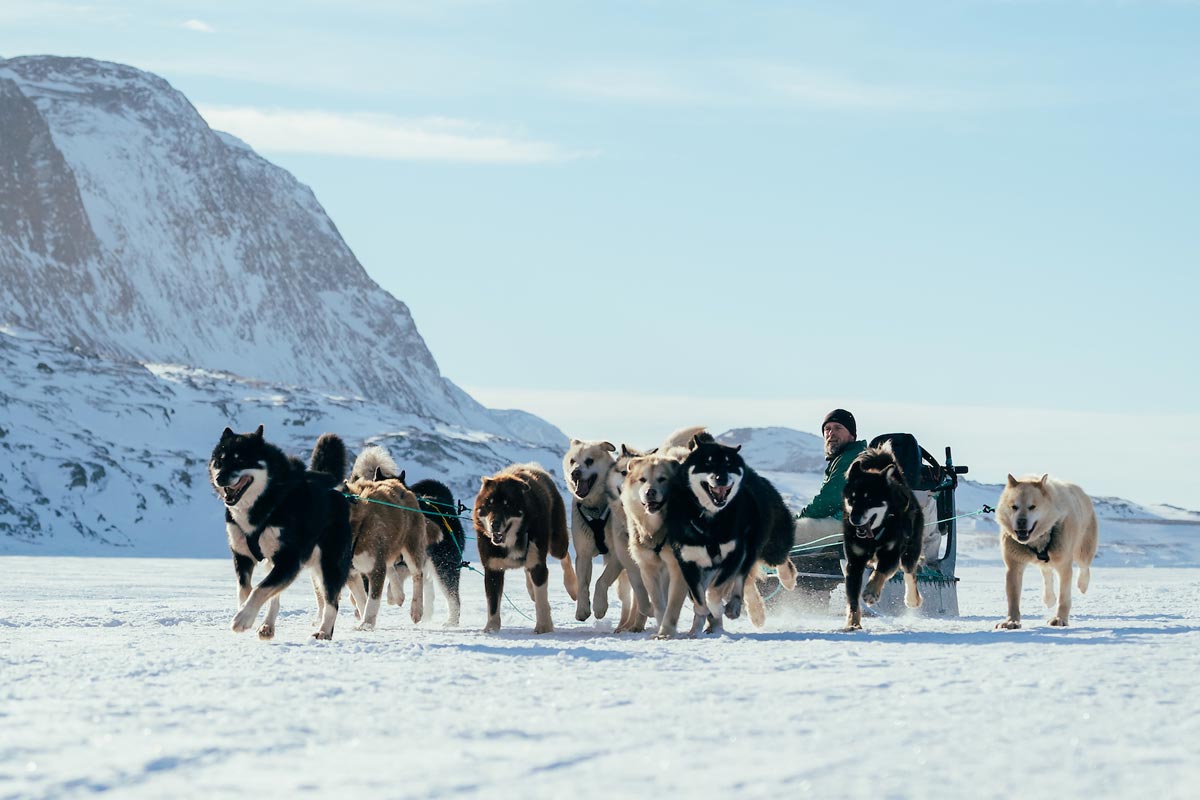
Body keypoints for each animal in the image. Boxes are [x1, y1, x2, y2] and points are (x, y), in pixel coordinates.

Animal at [208, 429, 350, 642]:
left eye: (241, 460)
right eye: (220, 460)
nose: (220, 478)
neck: (266, 501)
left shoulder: (289, 560)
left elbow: (259, 589)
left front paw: (243, 618)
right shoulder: (242, 557)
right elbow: (245, 589)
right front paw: (245, 611)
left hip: (329, 564)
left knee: (332, 601)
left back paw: (324, 632)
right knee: (276, 596)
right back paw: (268, 625)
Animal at [470, 462, 578, 633]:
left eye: (507, 505)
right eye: (489, 504)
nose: (494, 524)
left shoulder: (538, 566)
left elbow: (541, 601)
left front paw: (543, 626)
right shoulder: (493, 570)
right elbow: (493, 604)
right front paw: (491, 628)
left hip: (556, 542)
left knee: (564, 556)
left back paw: (571, 585)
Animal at [840, 448, 921, 628]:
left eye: (869, 499)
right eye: (852, 499)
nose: (854, 518)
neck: (875, 536)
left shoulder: (891, 555)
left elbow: (880, 573)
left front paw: (871, 592)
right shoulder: (854, 562)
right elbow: (853, 599)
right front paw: (852, 623)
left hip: (910, 550)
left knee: (909, 573)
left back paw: (913, 600)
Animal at [993, 472, 1099, 628]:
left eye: (1032, 507)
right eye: (1014, 507)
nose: (1021, 521)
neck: (1037, 539)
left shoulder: (1064, 565)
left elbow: (1064, 597)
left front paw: (1060, 619)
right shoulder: (1014, 565)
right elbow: (1013, 598)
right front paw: (1011, 621)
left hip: (1083, 549)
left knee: (1084, 567)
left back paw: (1082, 584)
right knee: (1046, 572)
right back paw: (1048, 598)